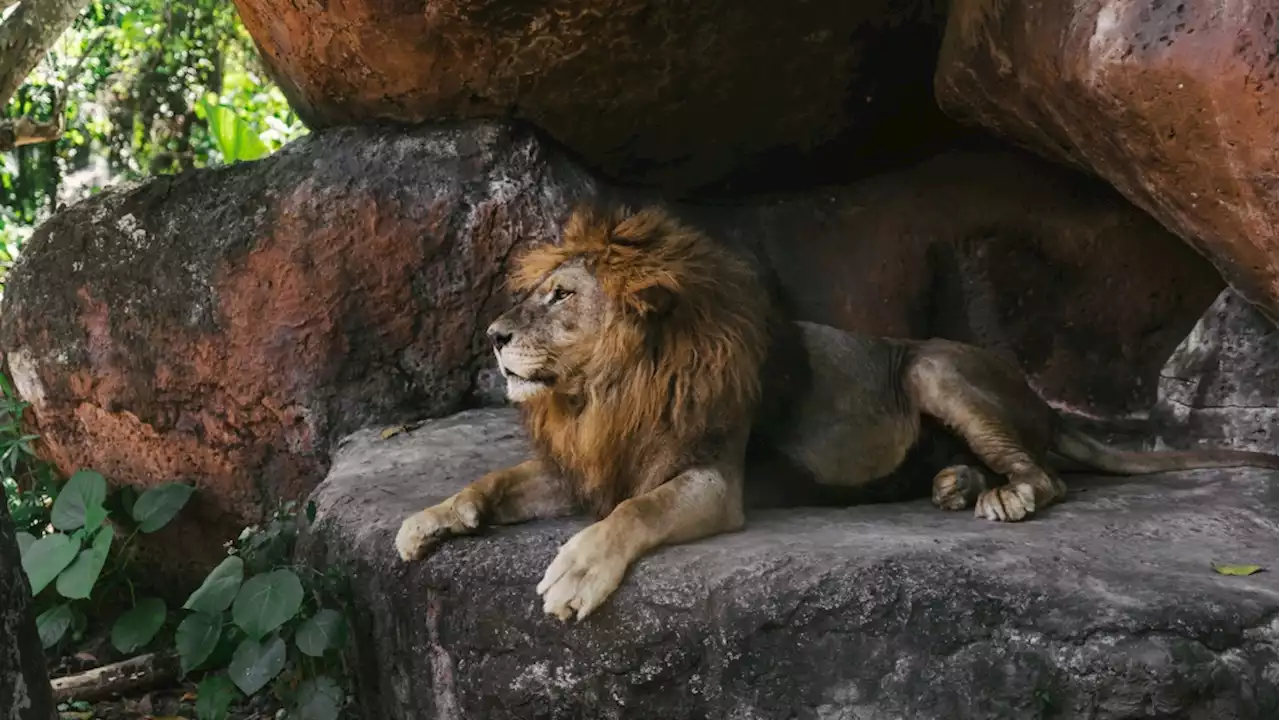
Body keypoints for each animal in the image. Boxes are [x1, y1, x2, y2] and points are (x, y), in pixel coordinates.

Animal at [394, 204, 1280, 620]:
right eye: (536, 292)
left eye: (561, 295)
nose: (493, 334)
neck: (604, 393)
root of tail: (1039, 399)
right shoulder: (580, 467)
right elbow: (492, 482)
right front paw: (427, 521)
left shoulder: (709, 480)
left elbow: (631, 514)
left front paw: (575, 573)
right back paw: (955, 484)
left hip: (932, 365)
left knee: (1048, 476)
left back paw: (1001, 495)